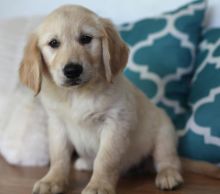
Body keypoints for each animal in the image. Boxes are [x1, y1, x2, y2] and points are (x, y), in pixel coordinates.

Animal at [19, 4, 183, 194]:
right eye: (53, 43)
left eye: (86, 38)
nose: (72, 70)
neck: (77, 94)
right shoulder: (57, 124)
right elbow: (59, 156)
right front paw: (52, 180)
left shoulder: (116, 122)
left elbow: (105, 160)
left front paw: (98, 185)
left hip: (165, 133)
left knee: (167, 159)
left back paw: (168, 175)